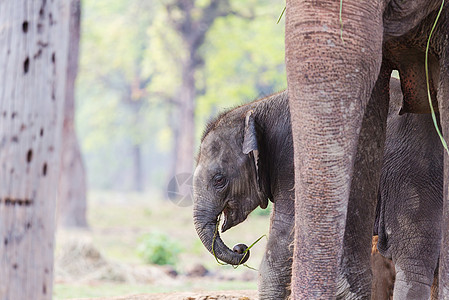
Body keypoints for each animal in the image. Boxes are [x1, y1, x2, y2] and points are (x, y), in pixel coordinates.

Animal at [192, 78, 440, 298]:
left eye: (219, 180)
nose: (240, 248)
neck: (254, 109)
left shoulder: (295, 164)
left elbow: (287, 231)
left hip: (413, 173)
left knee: (412, 258)